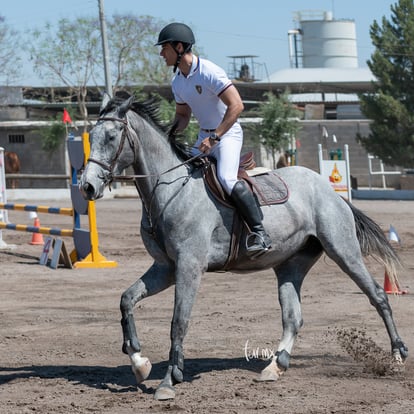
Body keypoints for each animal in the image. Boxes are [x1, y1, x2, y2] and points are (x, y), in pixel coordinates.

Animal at [80, 96, 408, 402]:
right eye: (91, 135)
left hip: (343, 251)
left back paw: (397, 355)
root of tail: (329, 191)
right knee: (293, 317)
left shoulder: (189, 267)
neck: (170, 190)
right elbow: (127, 299)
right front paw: (139, 362)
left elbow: (178, 322)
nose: (87, 187)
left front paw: (169, 380)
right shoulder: (166, 268)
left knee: (378, 296)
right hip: (290, 264)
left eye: (111, 137)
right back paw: (275, 366)